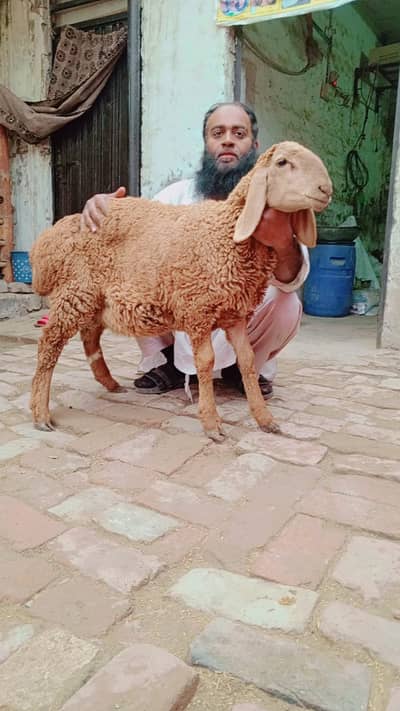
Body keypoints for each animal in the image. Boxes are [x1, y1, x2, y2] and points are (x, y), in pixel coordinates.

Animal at [30, 141, 332, 440]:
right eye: (282, 163)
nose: (326, 189)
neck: (226, 232)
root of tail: (46, 242)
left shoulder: (235, 315)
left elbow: (246, 360)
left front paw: (265, 419)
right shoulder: (198, 311)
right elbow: (206, 362)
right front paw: (211, 423)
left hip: (95, 298)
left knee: (89, 336)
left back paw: (110, 383)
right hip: (77, 291)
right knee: (49, 344)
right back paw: (41, 413)